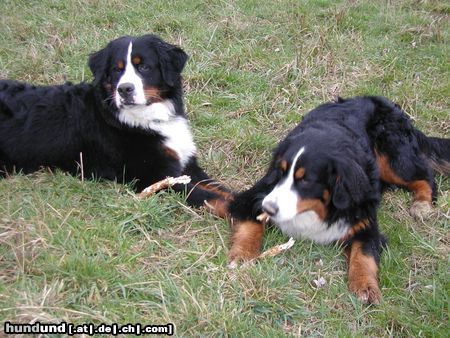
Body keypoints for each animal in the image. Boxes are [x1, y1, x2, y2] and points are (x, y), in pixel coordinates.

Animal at [0, 33, 230, 211]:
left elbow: (222, 189)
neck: (145, 119)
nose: (124, 89)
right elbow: (213, 198)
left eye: (144, 67)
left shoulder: (187, 165)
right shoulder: (155, 176)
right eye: (116, 69)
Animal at [229, 96, 450, 304]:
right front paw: (242, 256)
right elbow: (249, 226)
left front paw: (365, 286)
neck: (316, 209)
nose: (269, 208)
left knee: (425, 175)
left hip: (392, 157)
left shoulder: (364, 220)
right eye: (280, 172)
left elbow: (364, 255)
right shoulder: (253, 197)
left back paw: (422, 205)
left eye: (305, 180)